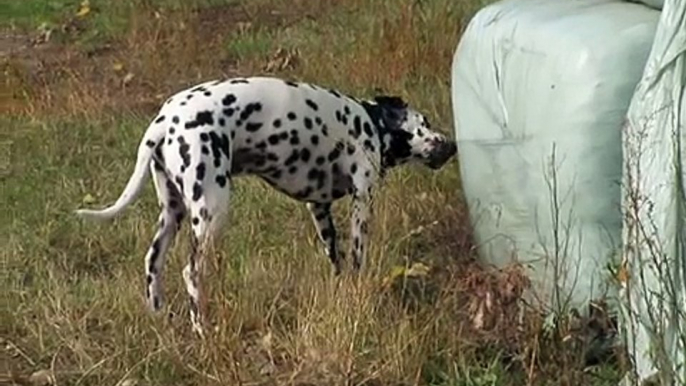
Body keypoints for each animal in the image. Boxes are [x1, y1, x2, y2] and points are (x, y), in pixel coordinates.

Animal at [75, 76, 456, 334]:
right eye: (424, 125)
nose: (450, 145)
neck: (371, 123)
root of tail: (164, 121)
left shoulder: (319, 209)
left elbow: (335, 258)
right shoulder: (363, 201)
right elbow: (357, 258)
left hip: (173, 215)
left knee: (153, 263)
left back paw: (158, 315)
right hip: (212, 213)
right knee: (191, 273)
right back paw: (202, 329)